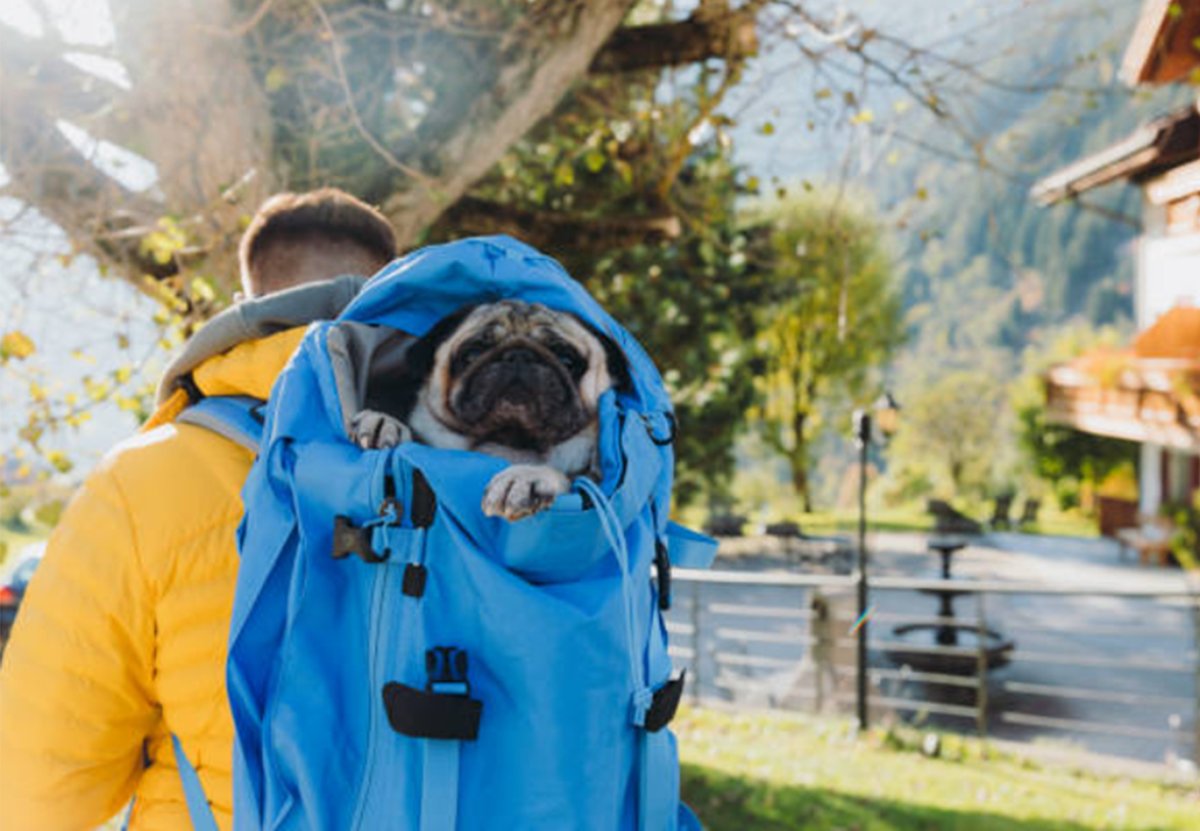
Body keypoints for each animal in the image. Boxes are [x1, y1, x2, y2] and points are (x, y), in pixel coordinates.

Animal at [350, 299, 628, 518]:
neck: (508, 442)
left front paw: (526, 477)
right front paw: (382, 421)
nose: (519, 356)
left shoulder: (594, 483)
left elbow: (573, 480)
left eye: (566, 360)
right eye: (472, 354)